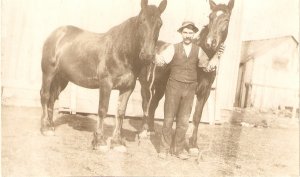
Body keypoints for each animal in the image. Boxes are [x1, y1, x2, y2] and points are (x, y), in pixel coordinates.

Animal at [40, 0, 168, 151]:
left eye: (160, 23)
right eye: (142, 21)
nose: (147, 55)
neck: (121, 52)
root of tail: (56, 34)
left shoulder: (127, 88)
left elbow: (120, 112)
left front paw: (117, 142)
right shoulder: (106, 84)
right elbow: (103, 110)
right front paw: (99, 141)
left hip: (61, 78)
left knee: (52, 98)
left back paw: (50, 126)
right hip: (48, 73)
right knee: (45, 95)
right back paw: (45, 128)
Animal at [138, 0, 234, 149]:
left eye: (226, 19)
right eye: (210, 17)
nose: (210, 42)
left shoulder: (204, 92)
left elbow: (196, 117)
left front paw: (193, 145)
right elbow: (180, 116)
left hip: (160, 88)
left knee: (153, 105)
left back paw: (152, 130)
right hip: (146, 85)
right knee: (145, 105)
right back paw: (143, 131)